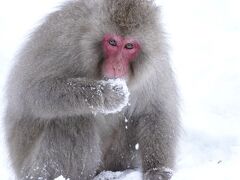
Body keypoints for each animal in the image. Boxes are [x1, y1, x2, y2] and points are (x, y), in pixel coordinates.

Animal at [4, 0, 179, 180]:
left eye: (129, 46)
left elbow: (155, 111)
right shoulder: (63, 39)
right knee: (71, 119)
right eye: (112, 42)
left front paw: (157, 170)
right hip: (33, 168)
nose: (117, 66)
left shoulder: (155, 66)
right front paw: (106, 95)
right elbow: (30, 92)